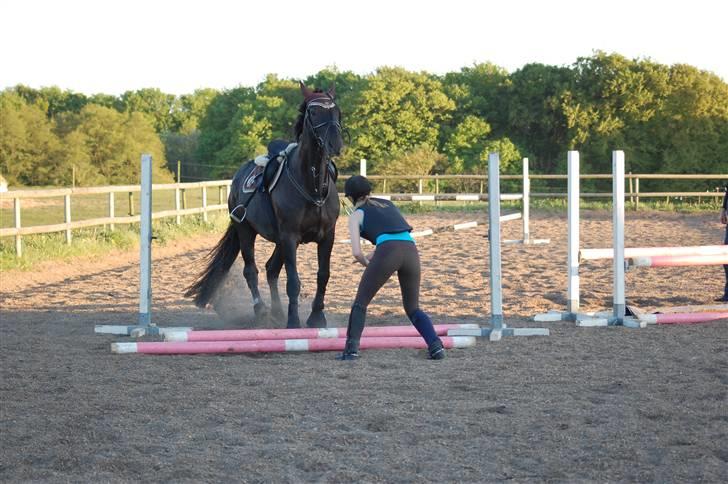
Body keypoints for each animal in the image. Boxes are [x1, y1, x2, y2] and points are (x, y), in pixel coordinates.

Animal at [188, 83, 346, 328]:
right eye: (313, 112)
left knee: (271, 269)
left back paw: (277, 312)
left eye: (337, 111)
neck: (311, 185)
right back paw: (262, 310)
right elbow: (293, 281)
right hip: (246, 231)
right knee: (251, 271)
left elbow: (323, 275)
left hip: (278, 241)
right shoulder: (289, 237)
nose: (335, 144)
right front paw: (294, 321)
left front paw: (316, 317)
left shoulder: (327, 235)